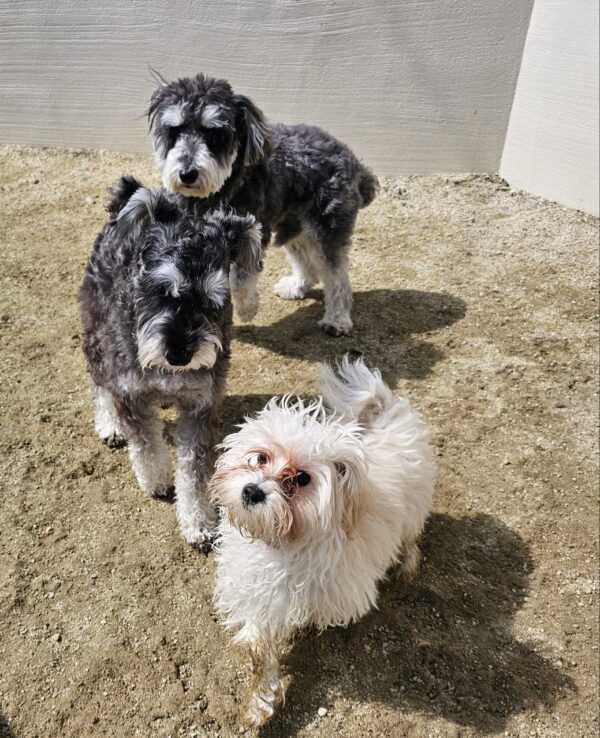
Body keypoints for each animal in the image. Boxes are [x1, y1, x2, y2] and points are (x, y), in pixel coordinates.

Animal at [79, 175, 262, 548]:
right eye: (159, 289)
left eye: (213, 301)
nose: (179, 354)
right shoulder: (131, 391)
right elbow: (146, 444)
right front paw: (156, 478)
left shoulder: (200, 405)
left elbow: (194, 470)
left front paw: (199, 520)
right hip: (95, 329)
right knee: (98, 380)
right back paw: (109, 422)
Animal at [148, 73, 379, 336]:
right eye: (174, 130)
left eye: (214, 135)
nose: (187, 174)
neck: (220, 190)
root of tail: (355, 163)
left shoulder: (253, 233)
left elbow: (240, 279)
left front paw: (248, 309)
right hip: (295, 227)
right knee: (308, 263)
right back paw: (295, 286)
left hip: (327, 228)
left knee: (337, 276)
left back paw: (337, 319)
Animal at [209, 357, 435, 725]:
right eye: (260, 457)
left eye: (302, 478)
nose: (252, 491)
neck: (283, 543)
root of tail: (386, 411)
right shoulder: (259, 590)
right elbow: (260, 642)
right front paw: (261, 697)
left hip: (414, 509)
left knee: (411, 538)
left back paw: (408, 566)